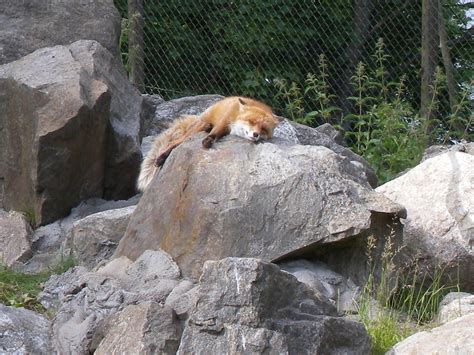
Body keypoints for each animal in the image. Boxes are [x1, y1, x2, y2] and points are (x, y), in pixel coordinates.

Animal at [136, 96, 278, 192]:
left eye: (263, 129)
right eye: (251, 121)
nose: (256, 134)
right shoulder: (224, 120)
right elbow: (215, 132)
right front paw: (208, 140)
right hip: (195, 129)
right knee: (175, 142)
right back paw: (161, 157)